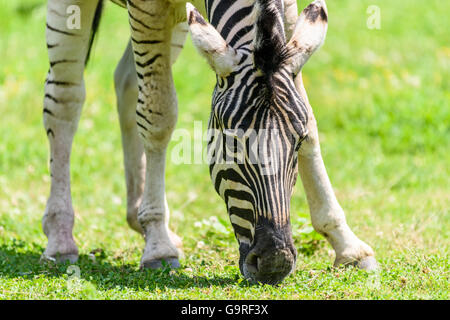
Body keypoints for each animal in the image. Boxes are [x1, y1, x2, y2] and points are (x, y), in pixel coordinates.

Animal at [42, 0, 378, 284]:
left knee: (127, 83)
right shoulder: (147, 10)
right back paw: (61, 237)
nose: (275, 262)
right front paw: (158, 245)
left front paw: (346, 244)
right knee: (65, 99)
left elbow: (309, 118)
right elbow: (158, 117)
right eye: (233, 143)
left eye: (297, 143)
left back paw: (139, 218)